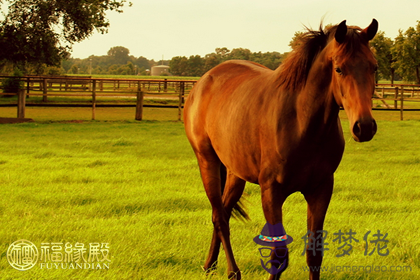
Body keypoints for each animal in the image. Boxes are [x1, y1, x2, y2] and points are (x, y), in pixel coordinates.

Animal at [184, 19, 378, 280]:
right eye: (339, 69)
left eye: (374, 67)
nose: (364, 127)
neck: (301, 122)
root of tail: (204, 81)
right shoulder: (271, 192)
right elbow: (279, 254)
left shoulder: (320, 190)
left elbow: (314, 254)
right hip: (207, 161)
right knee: (219, 217)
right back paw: (232, 271)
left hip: (235, 173)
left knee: (223, 211)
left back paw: (210, 265)